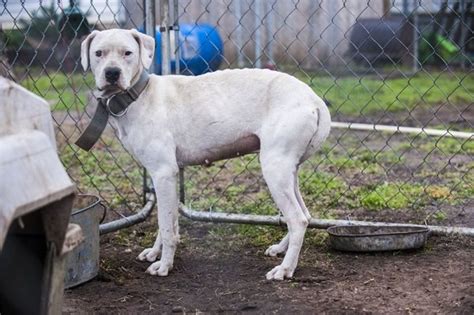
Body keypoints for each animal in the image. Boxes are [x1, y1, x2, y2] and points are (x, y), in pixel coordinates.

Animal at [80, 29, 330, 282]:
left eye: (128, 53)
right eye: (98, 53)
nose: (112, 73)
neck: (139, 95)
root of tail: (314, 99)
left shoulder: (163, 173)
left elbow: (167, 227)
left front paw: (164, 265)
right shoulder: (162, 177)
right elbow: (167, 222)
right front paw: (155, 253)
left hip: (274, 170)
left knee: (297, 219)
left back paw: (285, 268)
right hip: (288, 172)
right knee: (305, 215)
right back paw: (280, 249)